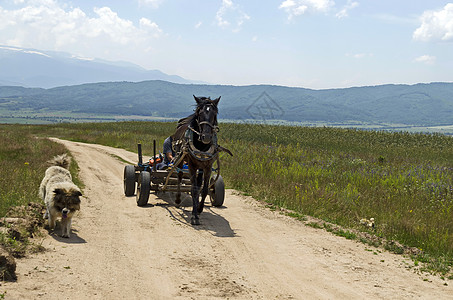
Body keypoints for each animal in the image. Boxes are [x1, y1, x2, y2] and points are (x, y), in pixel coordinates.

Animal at [171, 95, 221, 224]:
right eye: (199, 113)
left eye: (215, 113)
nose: (206, 137)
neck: (202, 146)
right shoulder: (192, 165)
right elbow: (193, 189)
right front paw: (194, 216)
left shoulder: (207, 166)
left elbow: (204, 189)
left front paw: (199, 209)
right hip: (180, 160)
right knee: (179, 177)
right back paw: (177, 200)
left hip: (201, 167)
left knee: (199, 184)